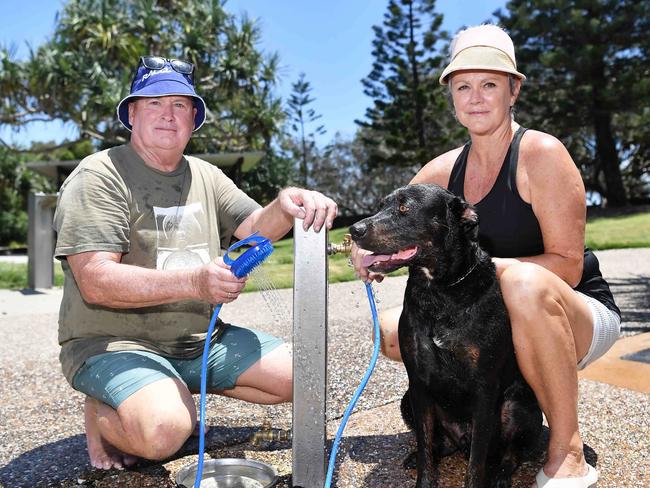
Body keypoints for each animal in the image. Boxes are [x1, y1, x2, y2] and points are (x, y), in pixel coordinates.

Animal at [350, 184, 540, 488]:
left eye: (404, 208)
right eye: (380, 206)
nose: (354, 230)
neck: (439, 289)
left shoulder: (485, 390)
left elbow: (476, 463)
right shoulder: (418, 385)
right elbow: (425, 446)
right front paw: (424, 476)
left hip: (522, 405)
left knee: (512, 452)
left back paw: (500, 475)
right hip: (407, 402)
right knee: (439, 444)